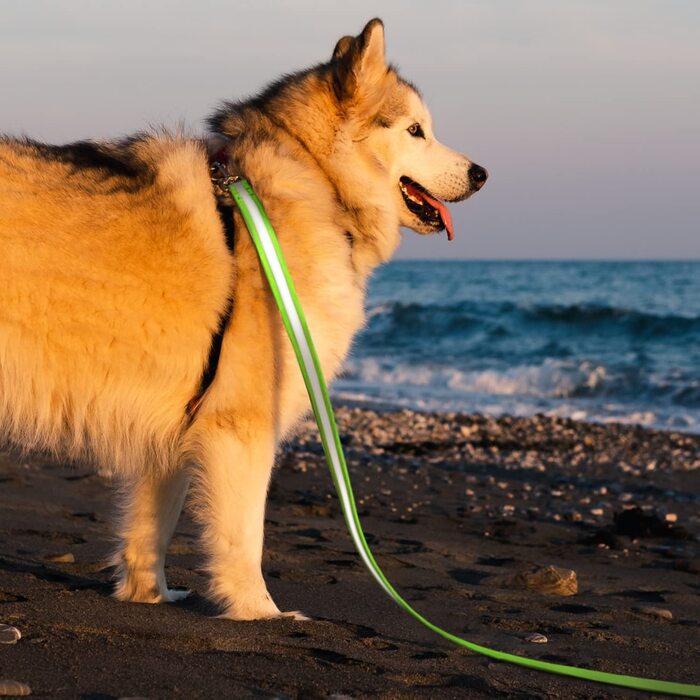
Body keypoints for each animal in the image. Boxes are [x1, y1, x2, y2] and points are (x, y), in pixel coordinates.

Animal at [0, 17, 490, 616]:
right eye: (416, 131)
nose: (481, 173)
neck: (315, 179)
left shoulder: (175, 428)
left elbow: (151, 528)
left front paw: (150, 595)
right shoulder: (241, 423)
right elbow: (244, 536)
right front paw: (260, 612)